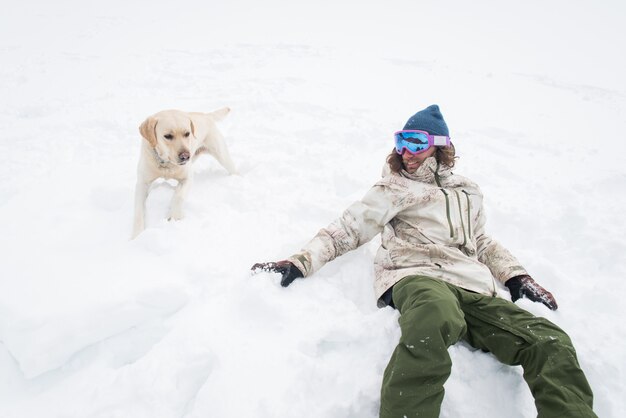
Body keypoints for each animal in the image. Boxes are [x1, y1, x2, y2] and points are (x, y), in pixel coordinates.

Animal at [132, 108, 236, 238]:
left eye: (187, 133)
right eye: (168, 136)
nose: (185, 156)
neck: (166, 164)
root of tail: (206, 115)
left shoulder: (187, 178)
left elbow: (178, 197)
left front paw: (174, 217)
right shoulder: (142, 183)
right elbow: (138, 211)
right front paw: (136, 235)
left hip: (222, 155)